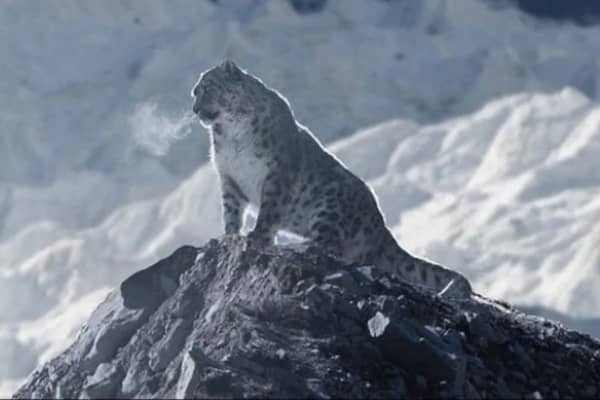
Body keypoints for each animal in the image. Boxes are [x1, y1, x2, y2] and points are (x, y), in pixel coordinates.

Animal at [190, 59, 472, 296]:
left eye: (208, 88)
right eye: (195, 91)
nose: (194, 109)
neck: (233, 134)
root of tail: (382, 229)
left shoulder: (277, 176)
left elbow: (269, 213)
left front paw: (256, 237)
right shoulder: (229, 178)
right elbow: (231, 212)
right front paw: (228, 237)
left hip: (330, 203)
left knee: (329, 245)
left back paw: (296, 246)